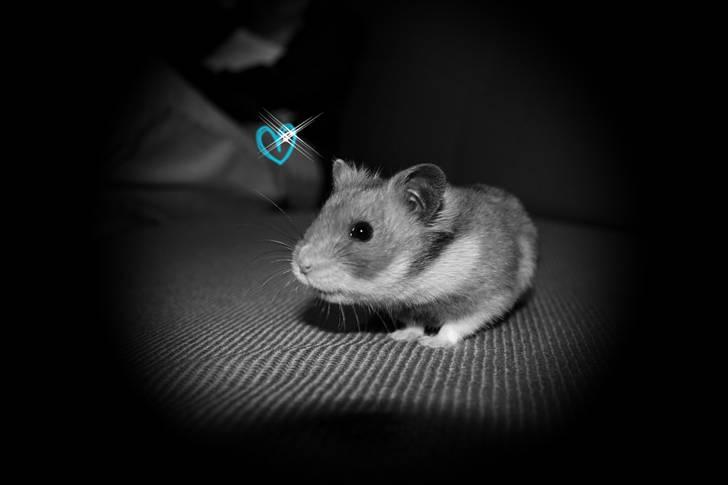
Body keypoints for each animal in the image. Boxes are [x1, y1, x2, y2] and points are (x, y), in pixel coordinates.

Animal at [291, 159, 538, 347]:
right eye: (320, 215)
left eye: (362, 231)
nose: (301, 265)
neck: (419, 275)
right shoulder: (406, 308)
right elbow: (413, 324)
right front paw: (399, 337)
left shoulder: (489, 297)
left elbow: (456, 324)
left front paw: (431, 343)